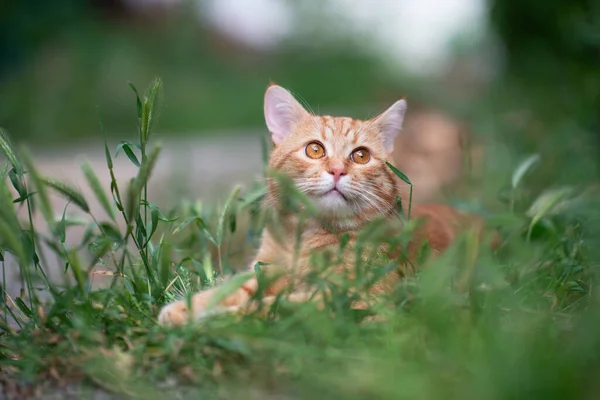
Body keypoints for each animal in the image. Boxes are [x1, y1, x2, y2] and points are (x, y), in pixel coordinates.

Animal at [158, 86, 492, 326]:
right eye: (315, 150)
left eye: (360, 156)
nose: (337, 170)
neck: (305, 239)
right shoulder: (267, 271)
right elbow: (230, 290)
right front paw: (186, 309)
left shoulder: (350, 298)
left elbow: (270, 308)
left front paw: (213, 319)